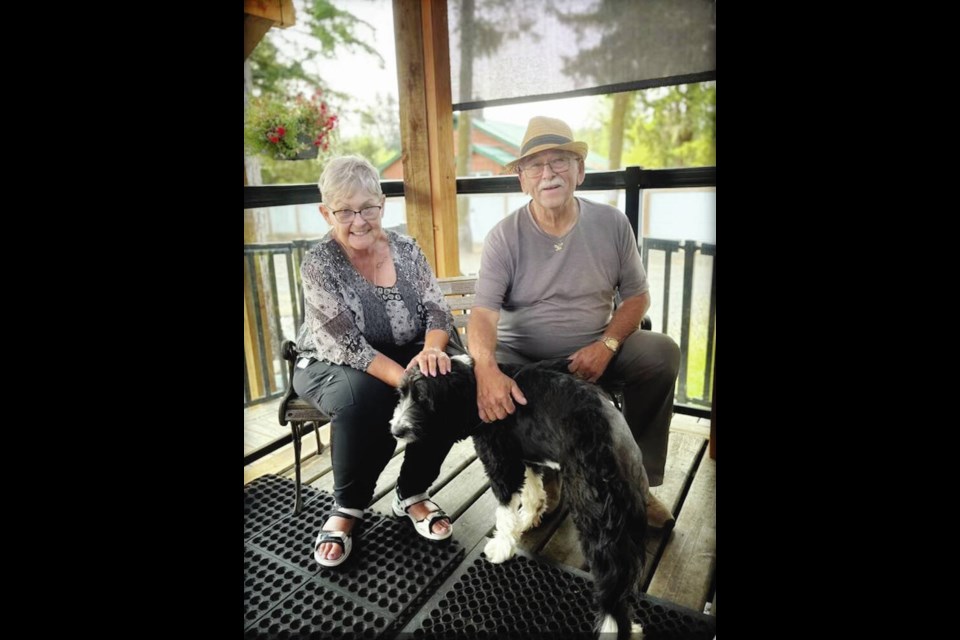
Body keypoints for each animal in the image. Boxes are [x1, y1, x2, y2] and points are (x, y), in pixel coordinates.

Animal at [390, 352, 652, 636]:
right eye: (401, 394)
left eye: (424, 399)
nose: (396, 431)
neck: (473, 387)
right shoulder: (526, 457)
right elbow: (532, 492)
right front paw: (527, 519)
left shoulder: (501, 464)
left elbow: (504, 511)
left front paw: (501, 547)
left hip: (596, 516)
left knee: (611, 584)